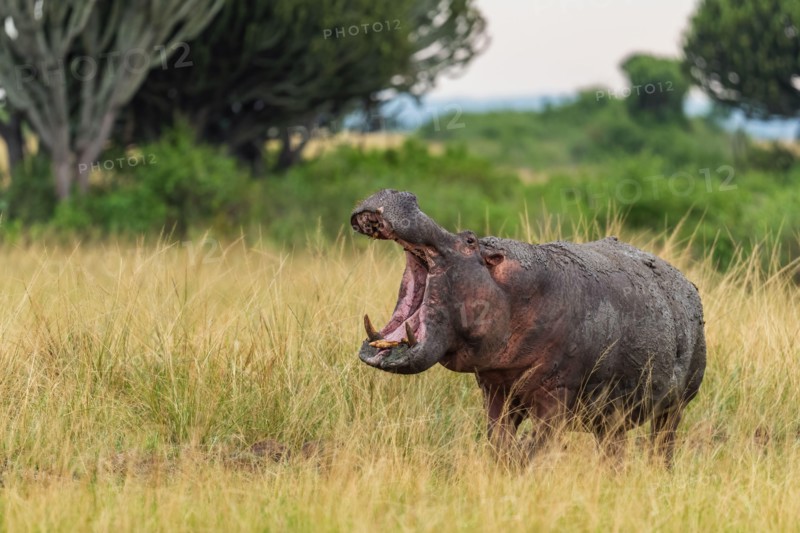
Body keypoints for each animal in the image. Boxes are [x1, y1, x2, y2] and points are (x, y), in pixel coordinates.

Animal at [351, 189, 706, 465]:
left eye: (469, 239)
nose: (401, 193)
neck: (513, 289)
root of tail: (688, 283)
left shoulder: (556, 395)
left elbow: (536, 446)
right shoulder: (495, 386)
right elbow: (498, 442)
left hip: (674, 408)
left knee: (663, 445)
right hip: (612, 418)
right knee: (613, 451)